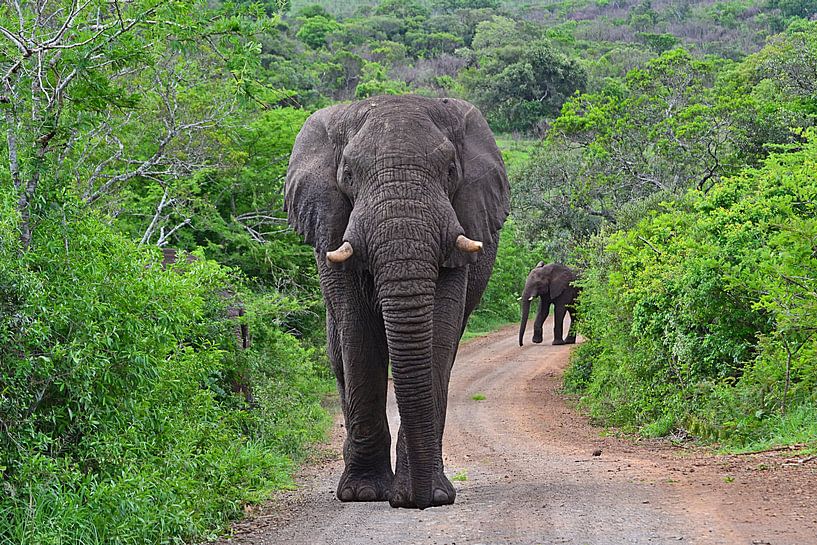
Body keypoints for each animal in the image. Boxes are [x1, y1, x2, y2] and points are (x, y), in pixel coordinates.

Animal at [284, 95, 509, 509]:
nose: (414, 503)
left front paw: (434, 495)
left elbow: (438, 333)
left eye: (450, 170)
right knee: (339, 352)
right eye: (349, 174)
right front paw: (362, 494)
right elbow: (358, 335)